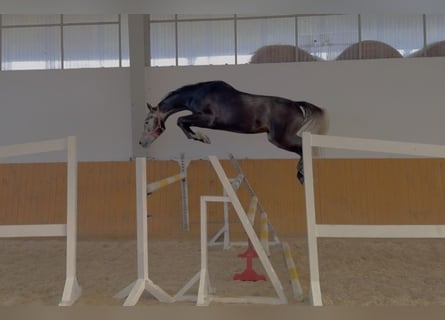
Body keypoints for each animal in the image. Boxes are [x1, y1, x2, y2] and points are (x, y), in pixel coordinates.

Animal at [139, 80, 326, 185]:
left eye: (147, 122)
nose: (142, 142)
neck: (196, 94)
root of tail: (296, 105)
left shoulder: (209, 119)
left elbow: (180, 121)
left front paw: (201, 137)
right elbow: (182, 122)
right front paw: (200, 137)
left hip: (280, 138)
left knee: (303, 147)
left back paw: (302, 173)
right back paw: (302, 175)